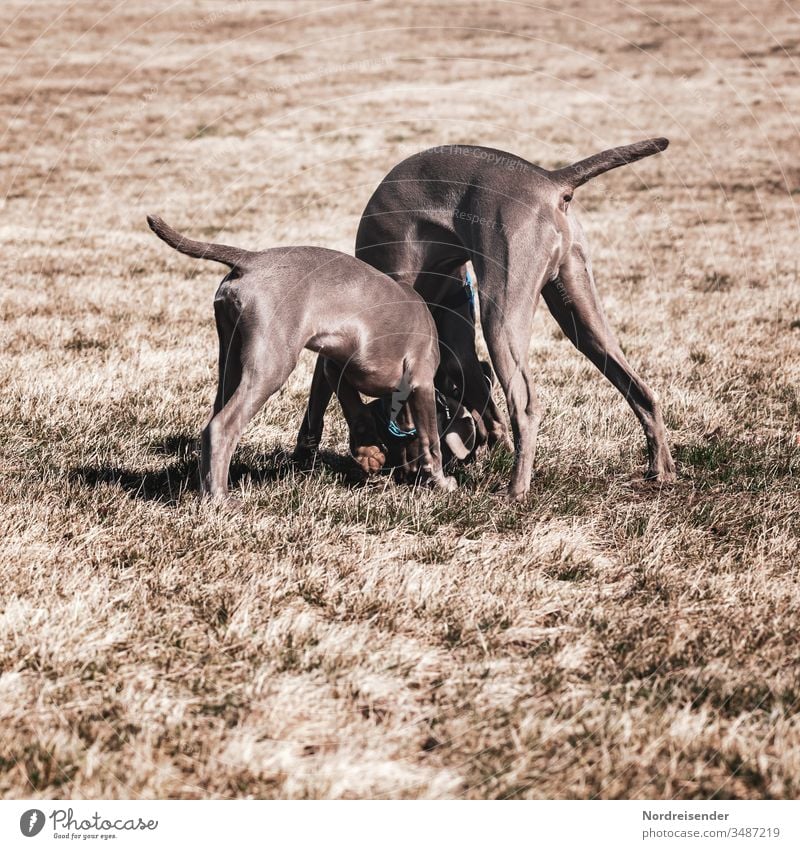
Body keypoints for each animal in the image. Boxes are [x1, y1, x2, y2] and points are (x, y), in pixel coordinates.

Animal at [145, 214, 456, 496]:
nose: (405, 477)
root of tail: (250, 258)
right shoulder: (421, 379)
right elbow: (431, 441)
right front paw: (441, 481)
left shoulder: (336, 364)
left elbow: (355, 410)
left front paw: (369, 452)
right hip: (273, 362)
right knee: (221, 427)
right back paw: (219, 499)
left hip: (230, 356)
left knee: (213, 418)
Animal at [296, 138, 680, 496]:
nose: (407, 474)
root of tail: (550, 180)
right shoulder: (459, 351)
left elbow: (336, 386)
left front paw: (363, 450)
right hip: (579, 312)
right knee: (640, 390)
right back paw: (661, 470)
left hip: (500, 311)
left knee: (525, 406)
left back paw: (515, 490)